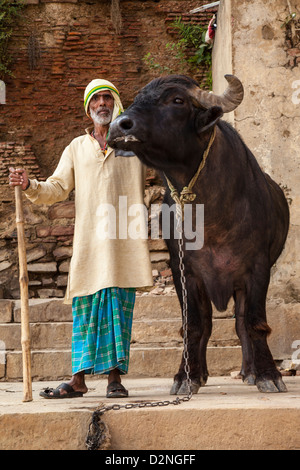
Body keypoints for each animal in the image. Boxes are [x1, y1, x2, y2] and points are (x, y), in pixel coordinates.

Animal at [107, 74, 288, 392]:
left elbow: (254, 323)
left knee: (241, 323)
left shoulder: (257, 268)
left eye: (177, 100)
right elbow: (193, 325)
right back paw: (202, 373)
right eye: (138, 98)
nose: (119, 126)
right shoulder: (184, 271)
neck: (211, 218)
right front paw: (185, 377)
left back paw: (249, 371)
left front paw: (268, 374)